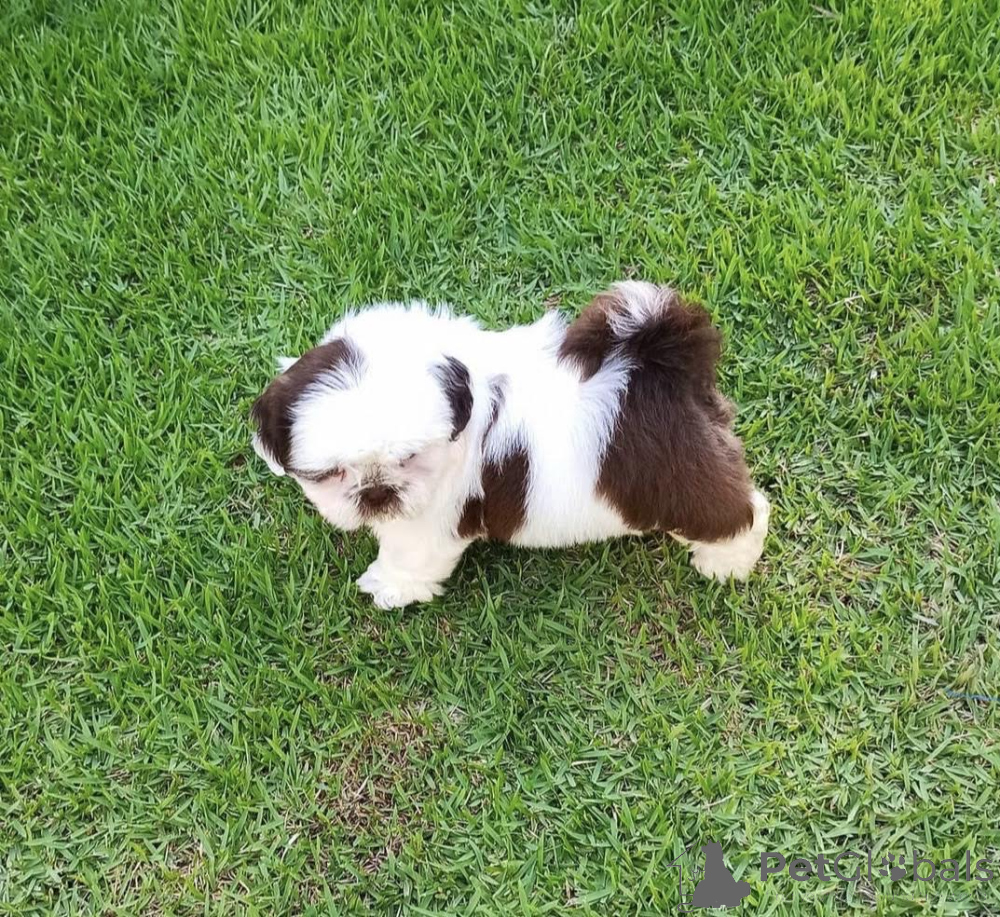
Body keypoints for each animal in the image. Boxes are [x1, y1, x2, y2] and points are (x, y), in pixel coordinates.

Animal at [251, 281, 770, 608]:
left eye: (410, 459)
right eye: (331, 474)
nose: (377, 493)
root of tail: (659, 360)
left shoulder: (431, 517)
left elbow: (409, 554)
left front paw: (389, 587)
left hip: (681, 477)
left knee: (739, 511)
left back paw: (725, 562)